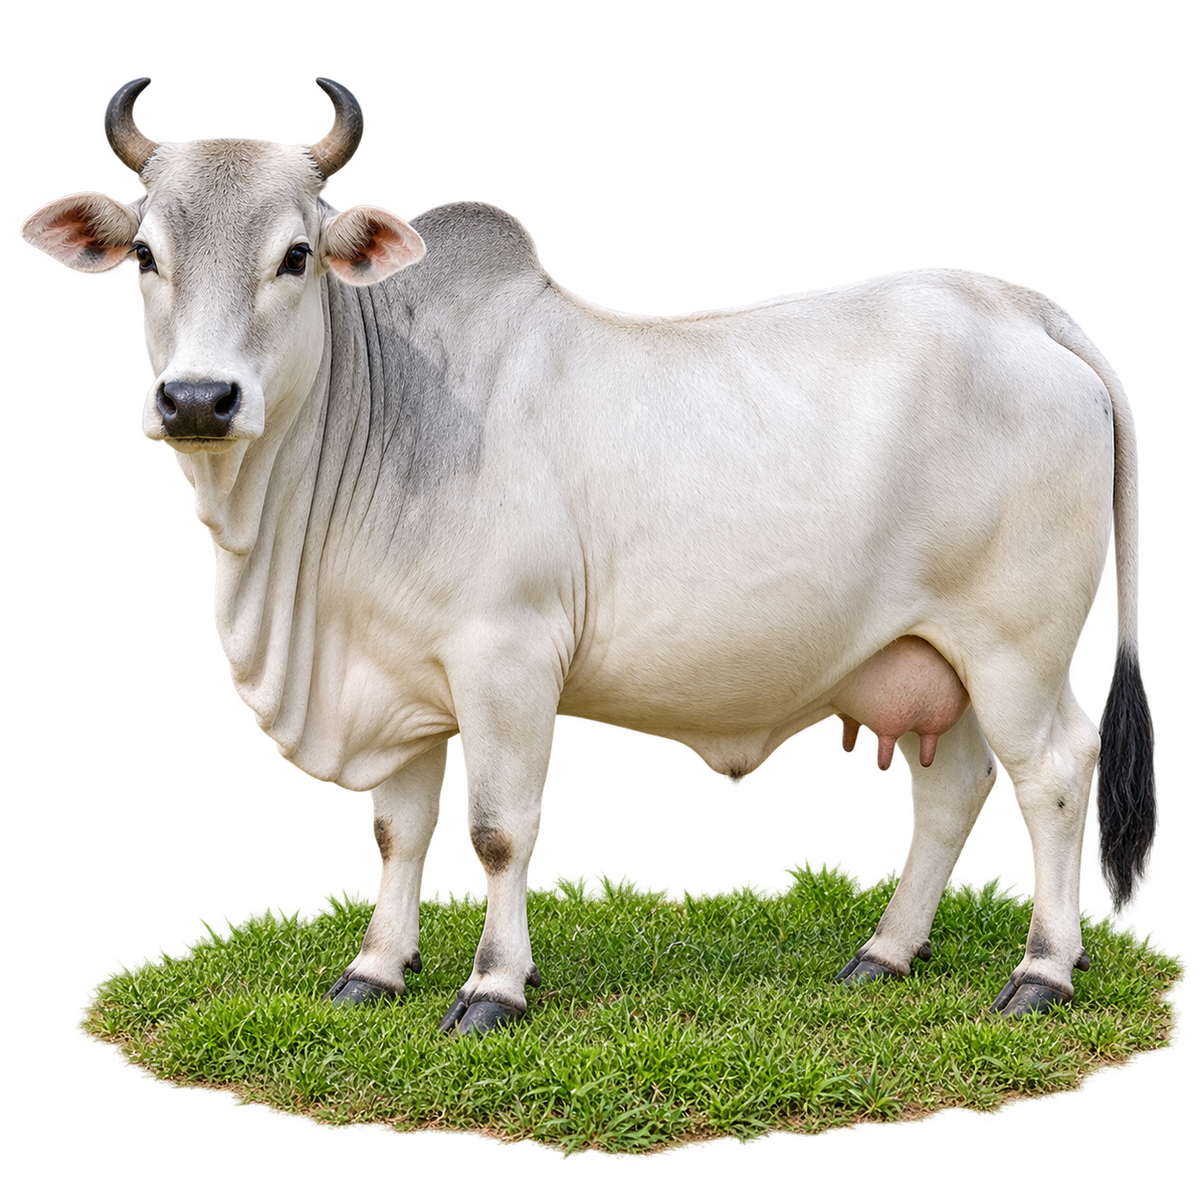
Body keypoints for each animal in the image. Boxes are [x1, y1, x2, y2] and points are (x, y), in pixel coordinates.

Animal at [19, 74, 1157, 1035]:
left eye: (296, 256)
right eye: (143, 256)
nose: (198, 401)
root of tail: (1024, 309)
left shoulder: (507, 659)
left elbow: (498, 830)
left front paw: (492, 987)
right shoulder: (395, 681)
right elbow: (397, 830)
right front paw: (376, 970)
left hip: (1014, 647)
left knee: (1056, 772)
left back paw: (1044, 972)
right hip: (940, 656)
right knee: (955, 793)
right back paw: (885, 954)